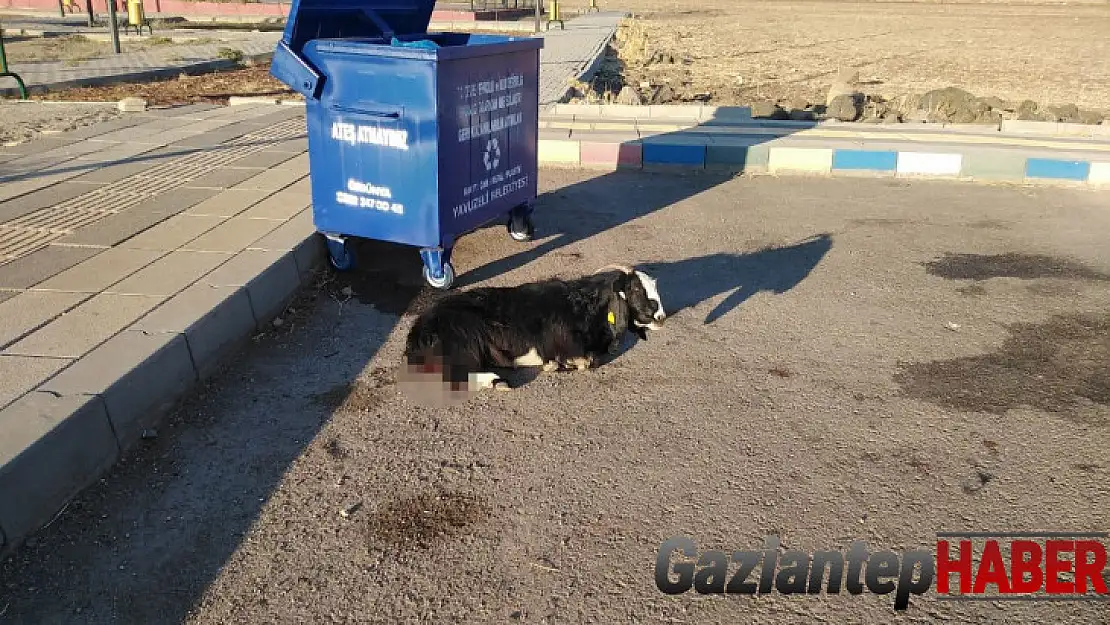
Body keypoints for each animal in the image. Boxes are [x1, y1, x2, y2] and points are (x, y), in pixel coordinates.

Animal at [408, 264, 666, 390]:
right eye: (635, 289)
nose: (660, 317)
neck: (586, 307)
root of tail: (420, 329)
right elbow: (587, 361)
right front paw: (559, 364)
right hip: (463, 341)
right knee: (453, 374)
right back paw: (497, 382)